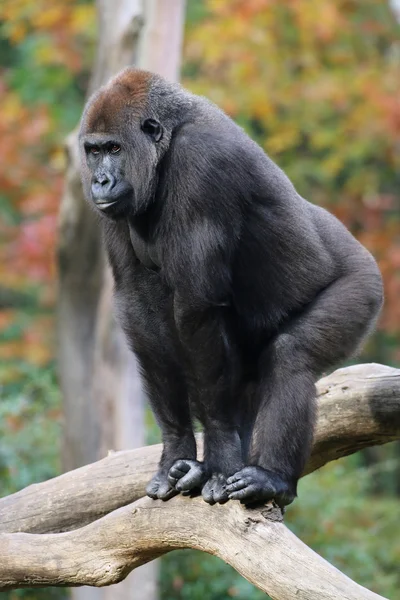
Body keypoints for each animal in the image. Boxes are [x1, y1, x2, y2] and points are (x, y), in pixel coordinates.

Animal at [79, 68, 384, 508]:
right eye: (93, 151)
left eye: (115, 148)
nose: (100, 181)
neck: (167, 143)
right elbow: (140, 307)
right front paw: (177, 450)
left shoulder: (202, 161)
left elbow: (197, 307)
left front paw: (221, 455)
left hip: (363, 284)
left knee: (290, 355)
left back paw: (272, 478)